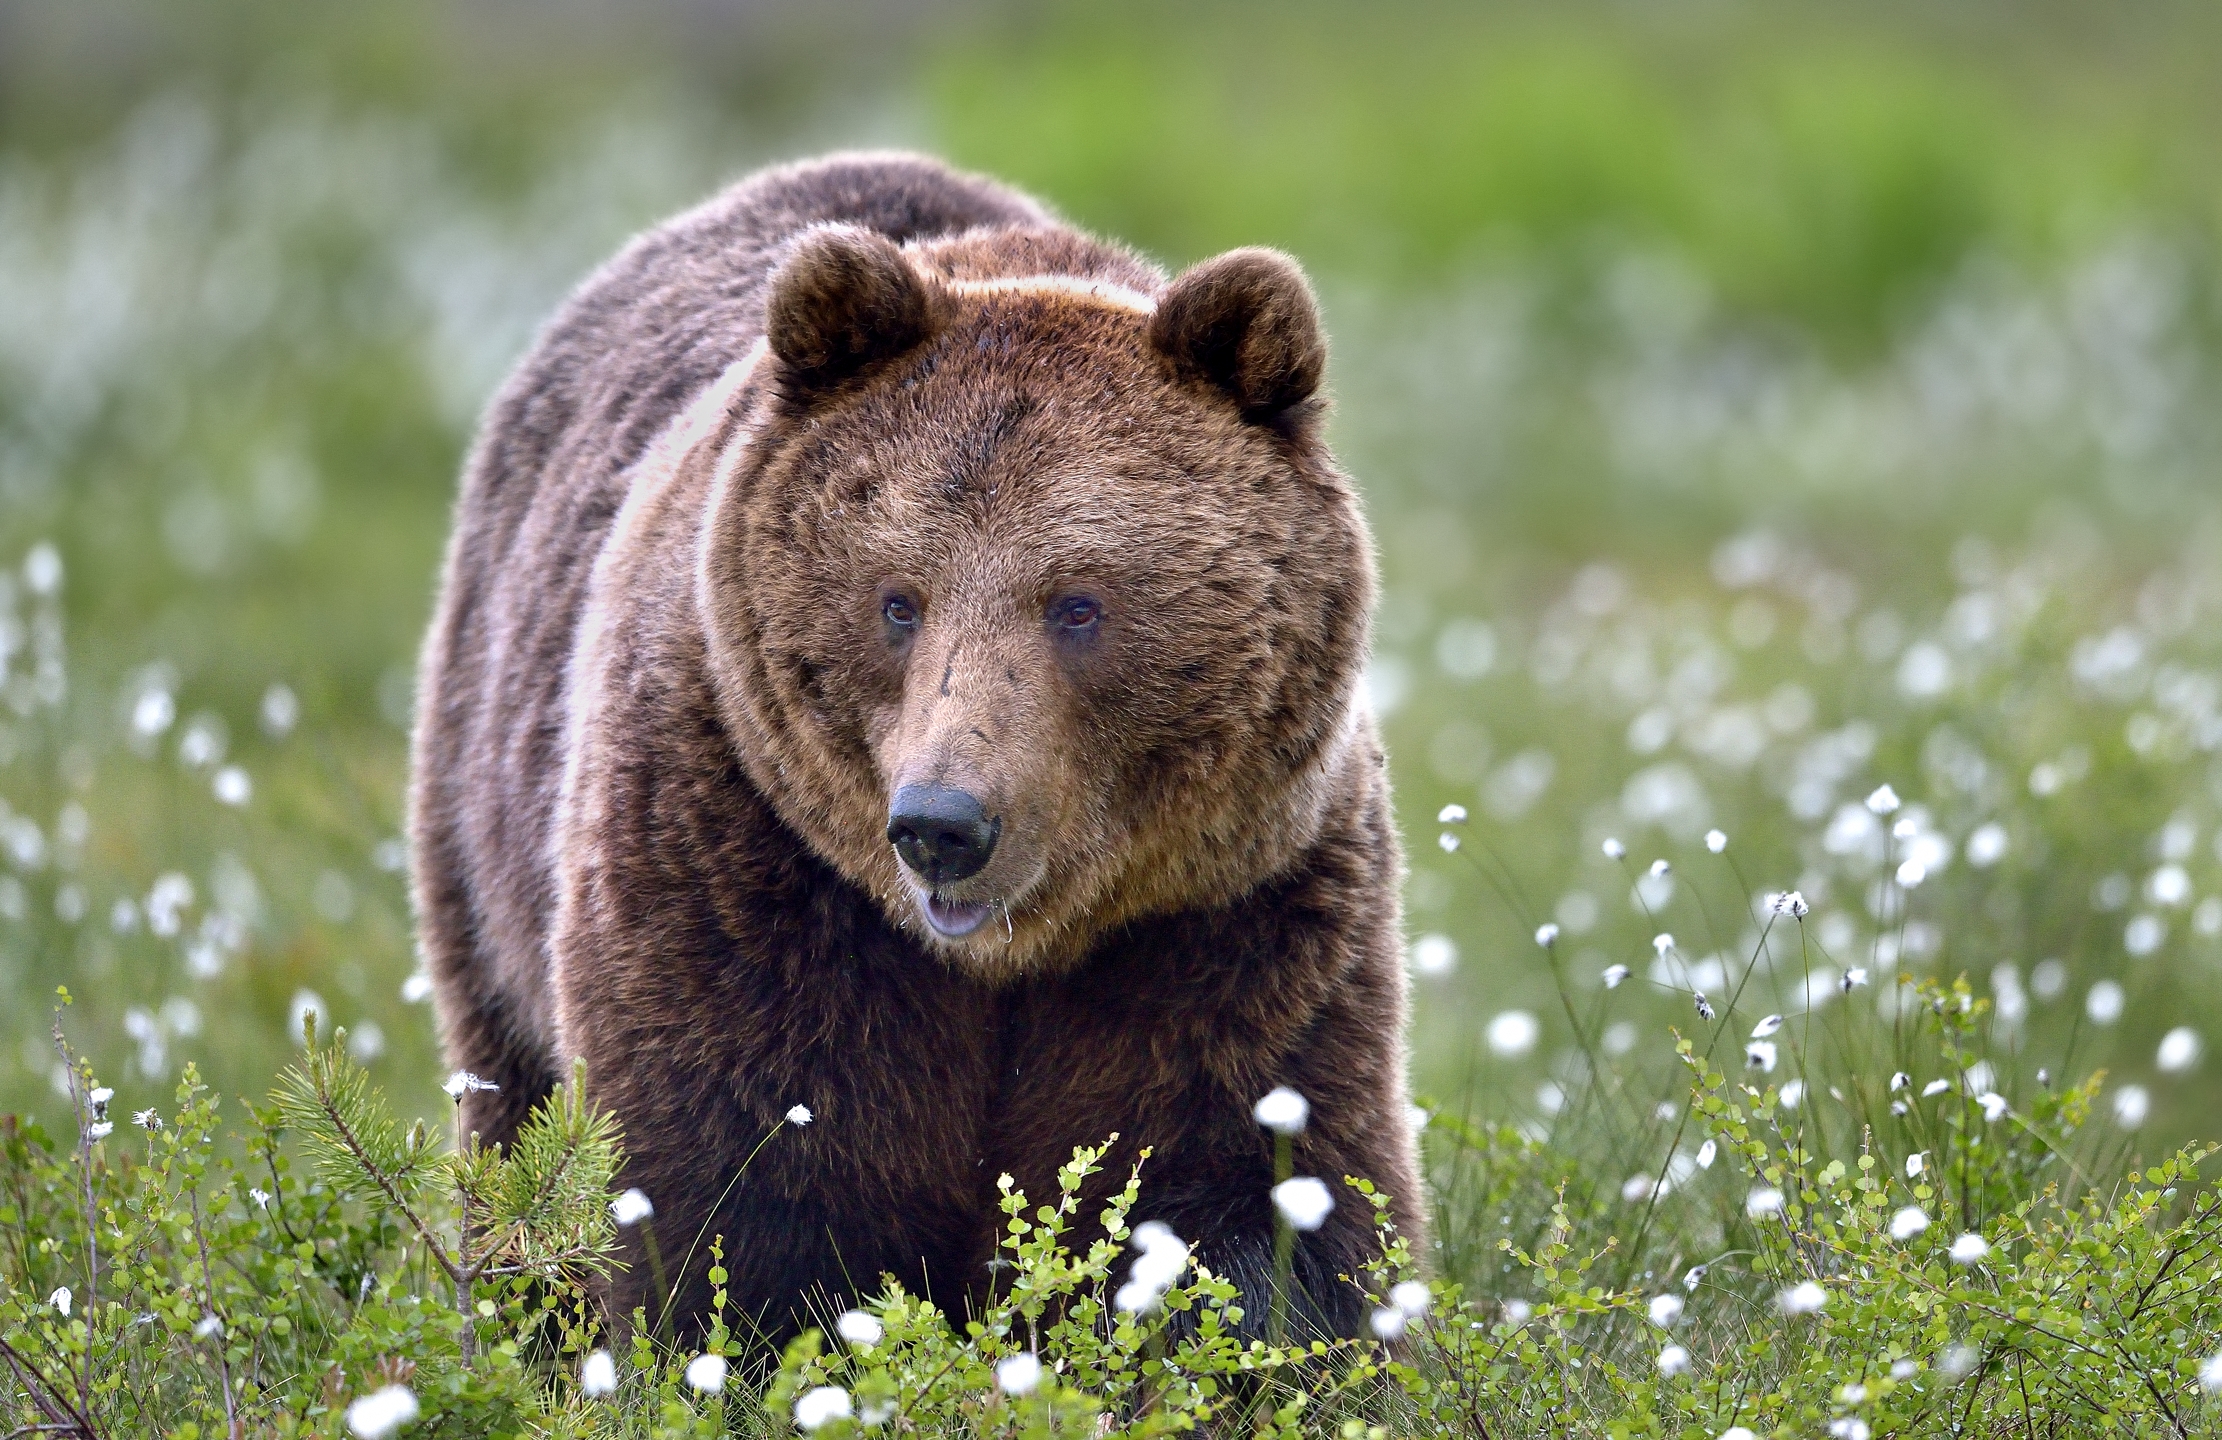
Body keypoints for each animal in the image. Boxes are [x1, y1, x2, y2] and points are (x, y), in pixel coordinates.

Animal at [409, 151, 1417, 1344]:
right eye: (898, 599)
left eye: (1077, 604)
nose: (943, 825)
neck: (1004, 964)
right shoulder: (742, 871)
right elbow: (739, 1199)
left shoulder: (1231, 915)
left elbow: (1255, 1197)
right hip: (486, 813)